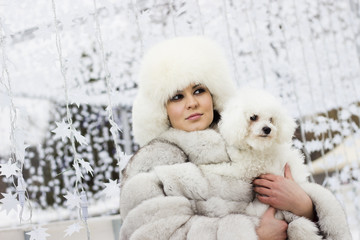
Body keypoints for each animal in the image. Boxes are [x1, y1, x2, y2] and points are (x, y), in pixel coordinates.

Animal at [202, 88, 320, 240]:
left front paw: (204, 166)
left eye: (271, 119)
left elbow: (223, 167)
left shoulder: (245, 169)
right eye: (253, 117)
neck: (256, 147)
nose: (267, 129)